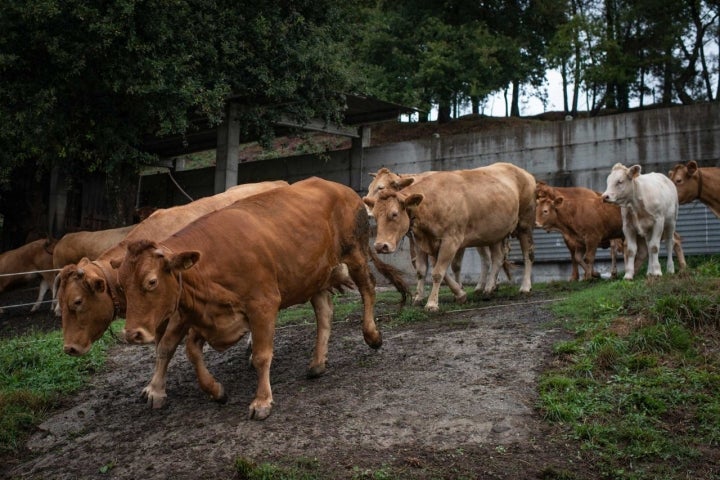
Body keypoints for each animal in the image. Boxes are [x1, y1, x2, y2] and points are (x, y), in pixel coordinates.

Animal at [111, 176, 404, 420]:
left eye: (151, 281)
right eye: (122, 286)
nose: (132, 334)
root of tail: (342, 188)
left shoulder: (262, 305)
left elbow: (261, 355)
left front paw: (261, 401)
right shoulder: (202, 314)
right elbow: (187, 351)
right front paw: (215, 390)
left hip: (355, 253)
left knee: (368, 289)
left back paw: (372, 335)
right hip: (313, 275)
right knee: (325, 312)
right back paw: (317, 363)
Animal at [366, 161, 536, 312]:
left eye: (394, 214)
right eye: (376, 216)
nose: (380, 246)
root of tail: (523, 172)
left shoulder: (452, 240)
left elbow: (439, 271)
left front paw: (432, 303)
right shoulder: (421, 240)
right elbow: (423, 270)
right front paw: (451, 294)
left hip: (524, 223)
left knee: (527, 254)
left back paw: (524, 287)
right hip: (494, 233)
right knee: (497, 258)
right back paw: (488, 288)